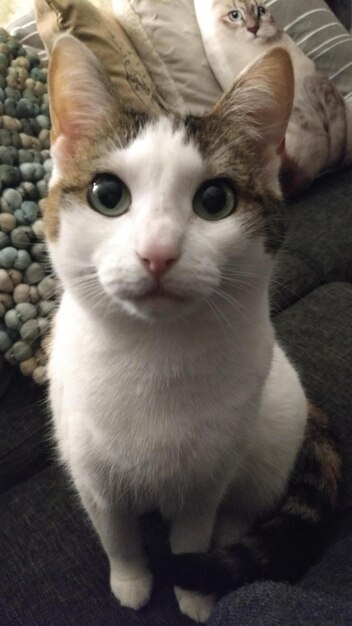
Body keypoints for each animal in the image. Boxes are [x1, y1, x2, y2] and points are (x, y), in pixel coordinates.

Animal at [45, 36, 340, 620]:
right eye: (107, 194)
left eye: (215, 200)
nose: (157, 253)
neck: (153, 356)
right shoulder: (92, 478)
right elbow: (116, 535)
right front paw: (132, 581)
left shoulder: (206, 482)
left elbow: (191, 535)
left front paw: (193, 590)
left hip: (271, 441)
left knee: (242, 510)